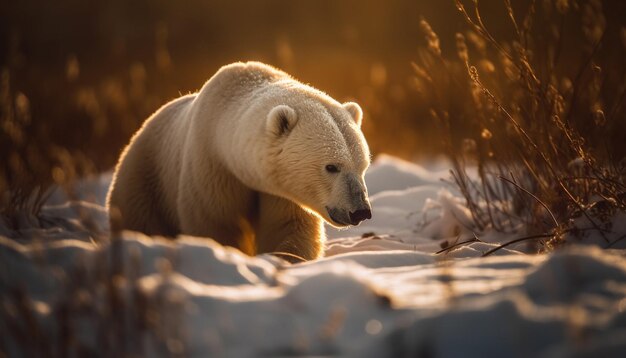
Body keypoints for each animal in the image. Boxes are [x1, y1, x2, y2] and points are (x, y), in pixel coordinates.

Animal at [106, 61, 370, 262]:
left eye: (362, 166)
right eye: (332, 166)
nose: (360, 211)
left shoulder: (280, 191)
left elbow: (288, 228)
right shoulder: (212, 168)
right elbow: (216, 225)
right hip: (146, 181)